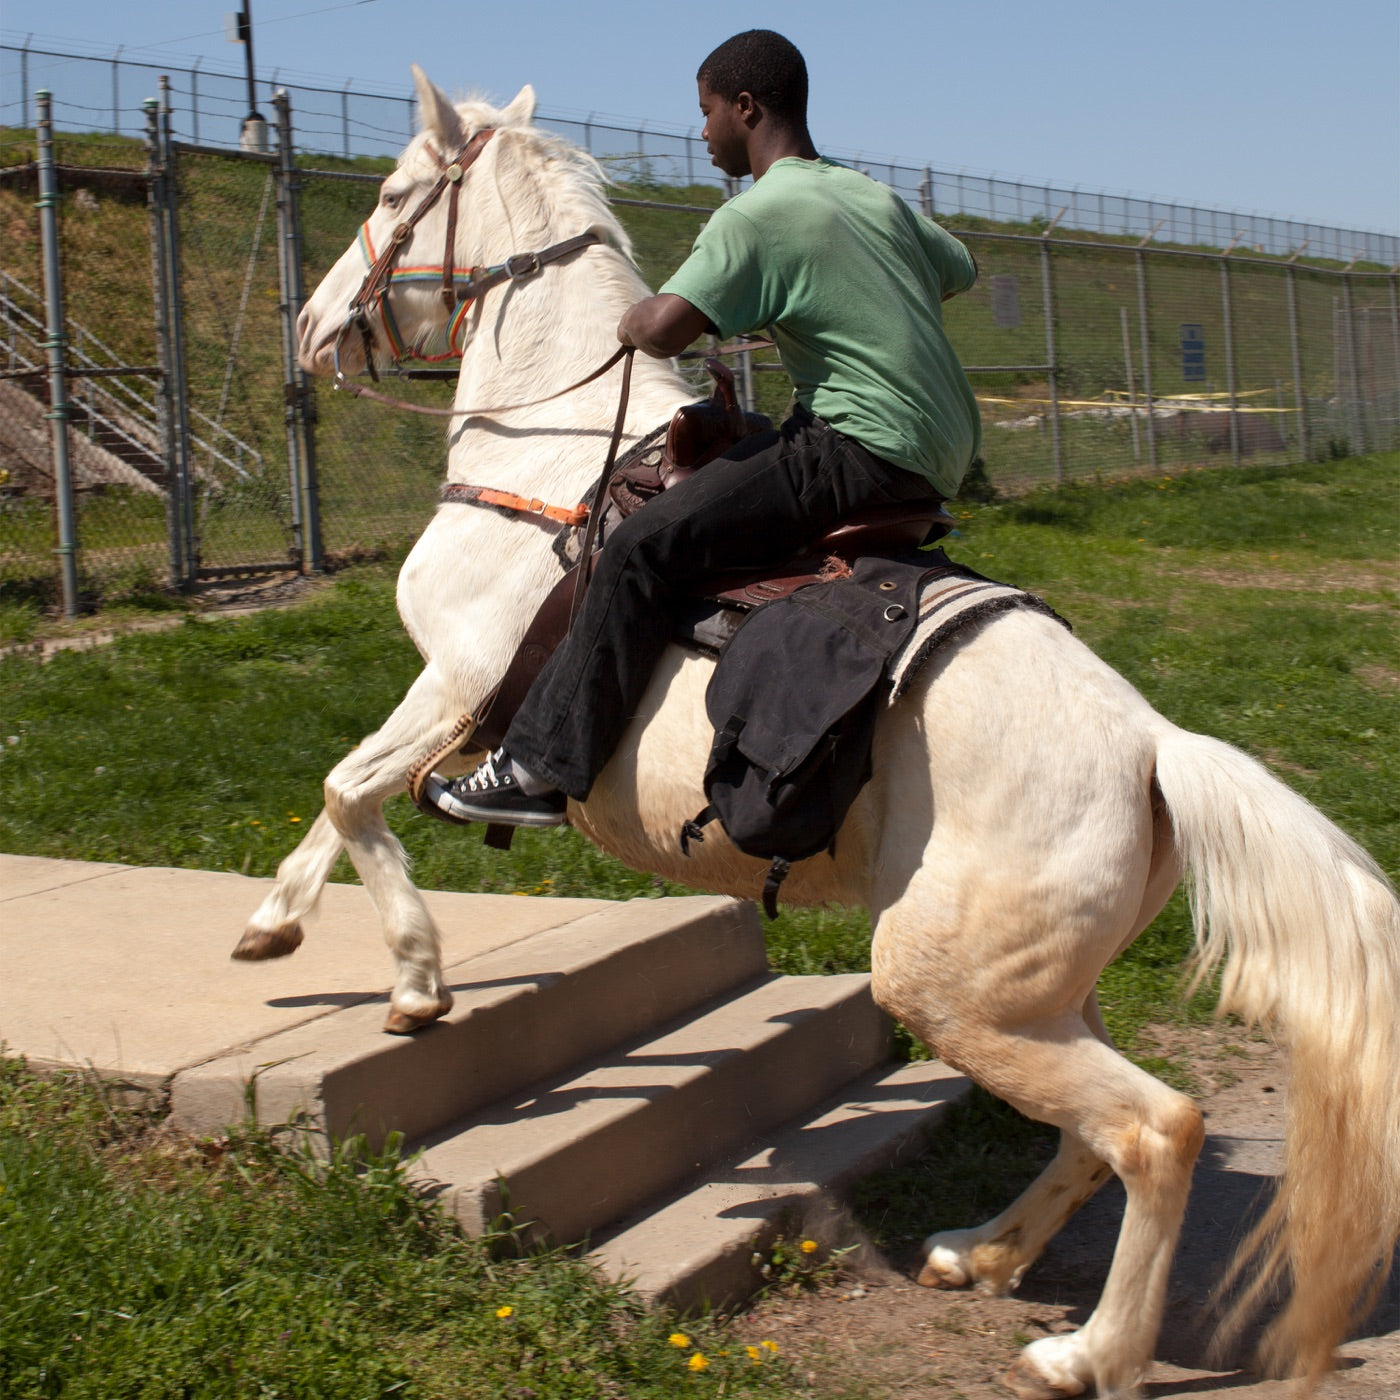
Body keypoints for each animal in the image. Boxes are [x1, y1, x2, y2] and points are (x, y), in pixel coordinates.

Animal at [239, 67, 1400, 1400]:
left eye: (389, 196)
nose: (313, 327)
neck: (556, 458)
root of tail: (1153, 745)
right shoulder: (444, 695)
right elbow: (342, 800)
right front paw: (271, 925)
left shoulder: (463, 682)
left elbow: (351, 789)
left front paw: (417, 979)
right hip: (1028, 995)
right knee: (1087, 1133)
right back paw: (978, 1250)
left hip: (946, 987)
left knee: (1155, 1129)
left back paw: (1085, 1349)